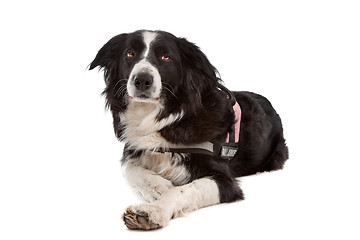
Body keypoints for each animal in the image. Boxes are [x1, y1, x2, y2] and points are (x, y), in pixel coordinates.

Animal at [88, 30, 288, 231]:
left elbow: (181, 190)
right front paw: (161, 186)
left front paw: (153, 211)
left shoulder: (224, 181)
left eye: (166, 57)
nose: (142, 80)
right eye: (130, 54)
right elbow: (131, 169)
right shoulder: (133, 149)